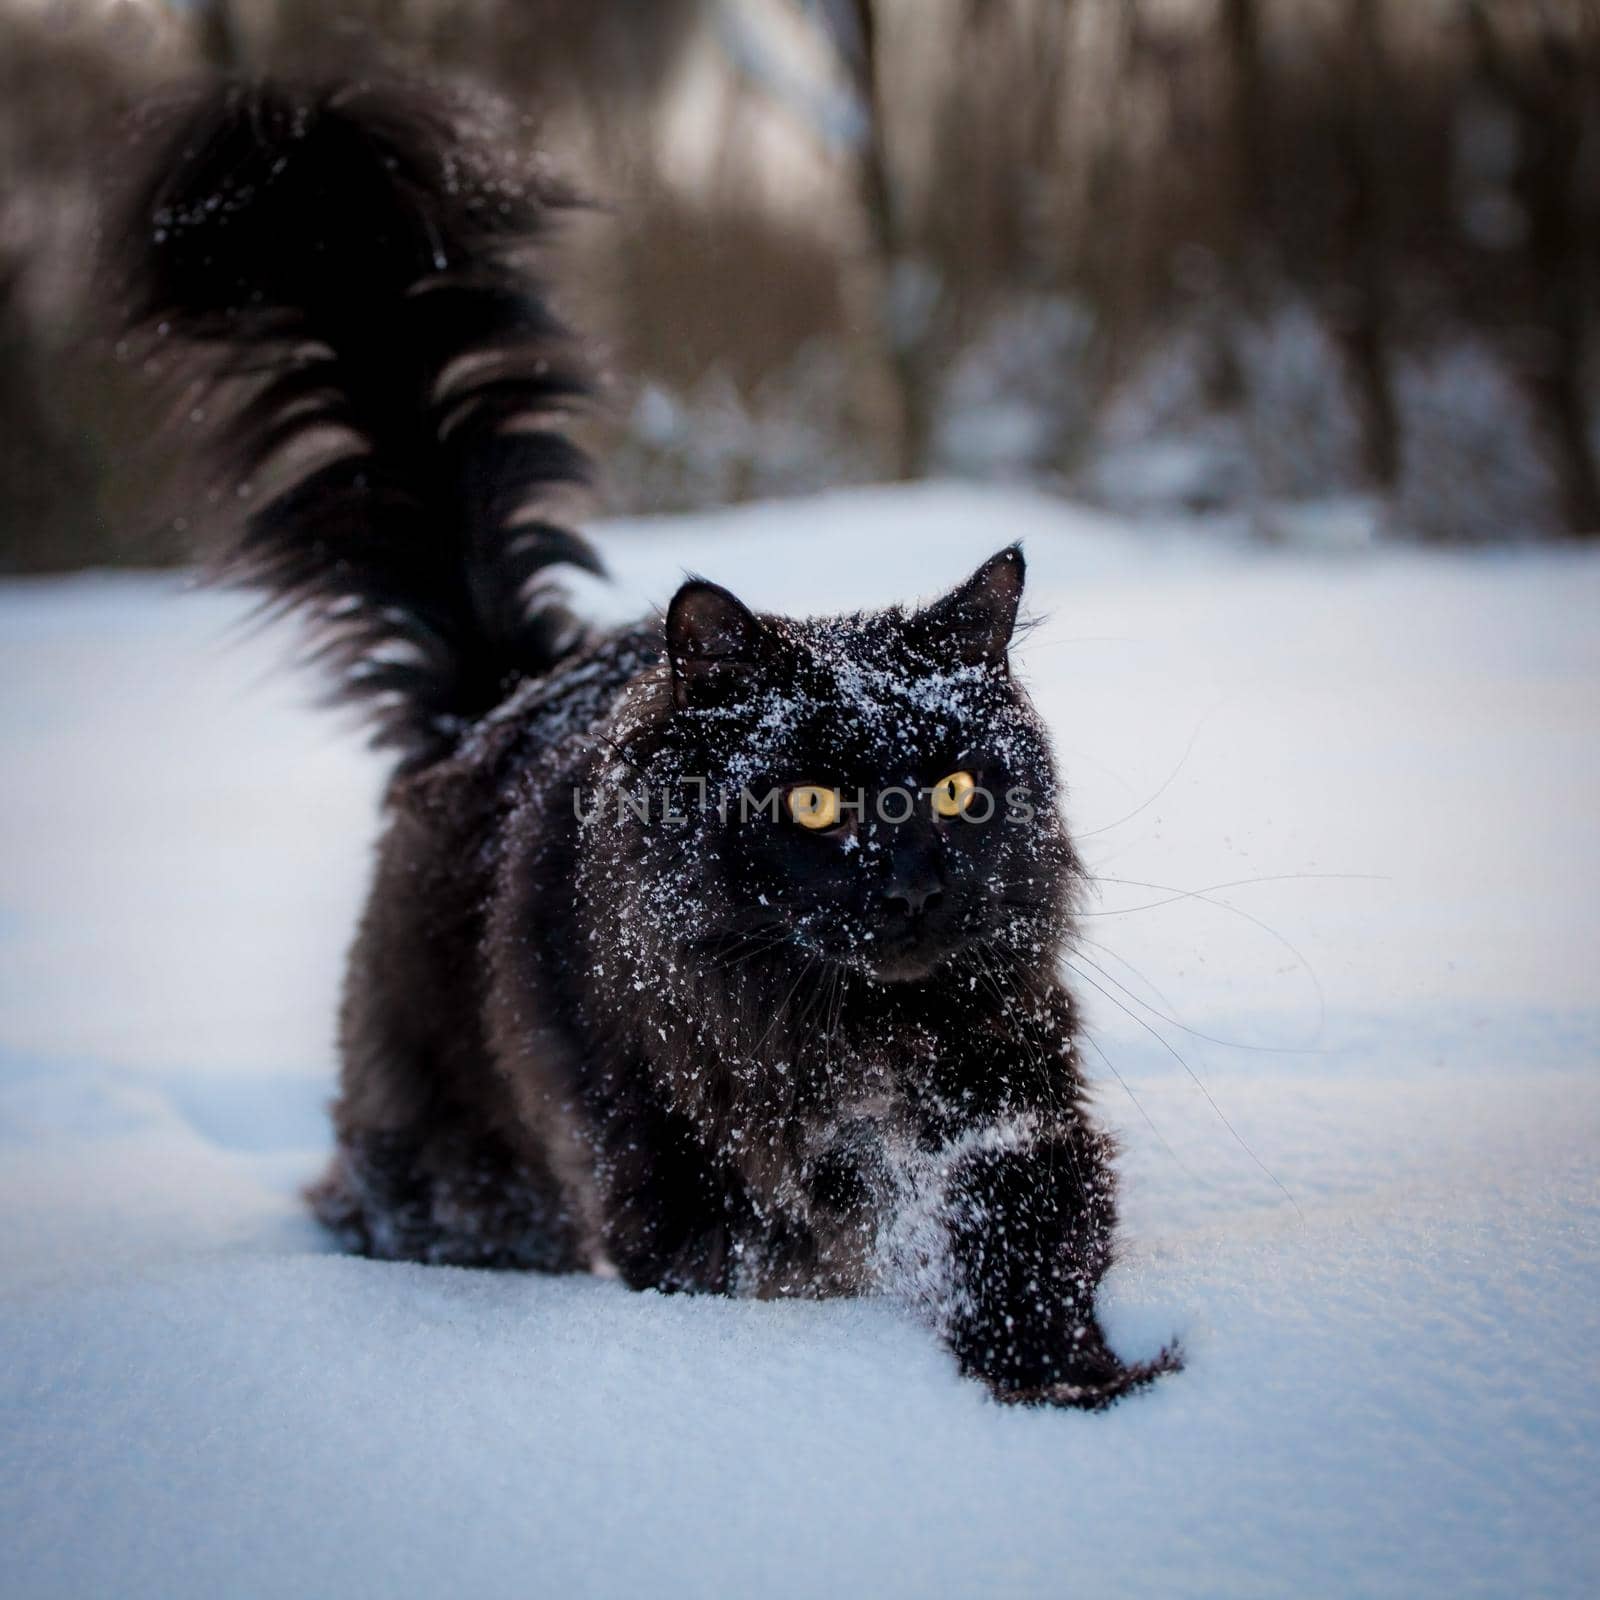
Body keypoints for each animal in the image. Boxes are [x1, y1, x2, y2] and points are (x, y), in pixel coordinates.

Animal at [118, 81, 1177, 1408]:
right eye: (814, 804)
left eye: (951, 788)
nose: (915, 882)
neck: (835, 1036)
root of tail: (499, 697)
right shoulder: (679, 1193)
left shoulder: (1012, 1106)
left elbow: (1027, 1244)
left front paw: (1074, 1383)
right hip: (457, 1167)